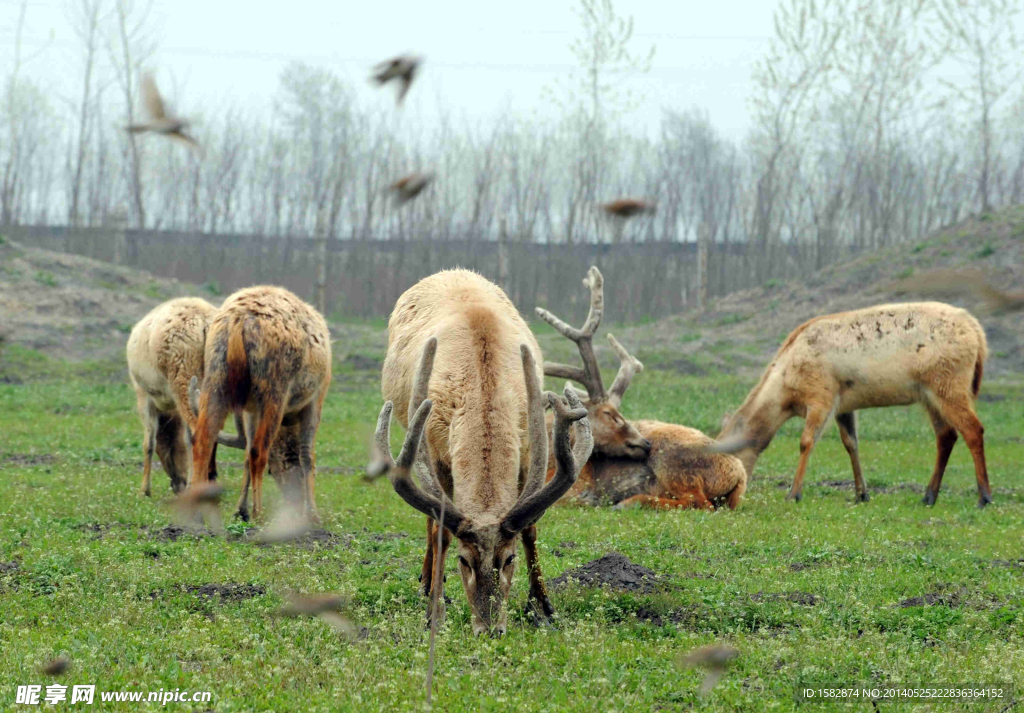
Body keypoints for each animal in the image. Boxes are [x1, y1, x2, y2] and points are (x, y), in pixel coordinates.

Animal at [126, 295, 219, 495]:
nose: (177, 484)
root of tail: (204, 322)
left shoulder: (144, 397)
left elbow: (149, 443)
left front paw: (144, 490)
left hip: (183, 380)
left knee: (198, 432)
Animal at [185, 284, 327, 524]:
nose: (294, 502)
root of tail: (239, 320)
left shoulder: (250, 409)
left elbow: (244, 456)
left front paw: (239, 509)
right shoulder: (316, 397)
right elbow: (308, 455)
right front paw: (313, 515)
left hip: (215, 377)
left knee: (203, 439)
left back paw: (196, 513)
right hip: (275, 387)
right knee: (259, 450)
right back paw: (259, 513)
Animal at [374, 270, 593, 639]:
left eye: (508, 559)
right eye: (464, 560)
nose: (490, 630)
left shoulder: (527, 447)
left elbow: (531, 529)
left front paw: (543, 608)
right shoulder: (437, 448)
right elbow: (442, 531)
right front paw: (435, 613)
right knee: (430, 523)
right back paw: (427, 583)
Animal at [536, 264, 745, 510]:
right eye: (609, 414)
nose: (643, 443)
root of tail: (740, 475)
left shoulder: (578, 483)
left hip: (671, 459)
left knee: (699, 502)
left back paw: (628, 502)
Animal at [712, 301, 991, 506]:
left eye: (727, 458)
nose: (718, 500)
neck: (787, 395)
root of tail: (978, 333)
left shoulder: (822, 395)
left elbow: (806, 442)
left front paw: (793, 493)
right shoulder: (844, 405)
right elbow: (851, 444)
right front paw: (861, 493)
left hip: (950, 384)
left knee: (973, 430)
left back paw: (984, 497)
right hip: (930, 394)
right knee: (946, 436)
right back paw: (929, 496)